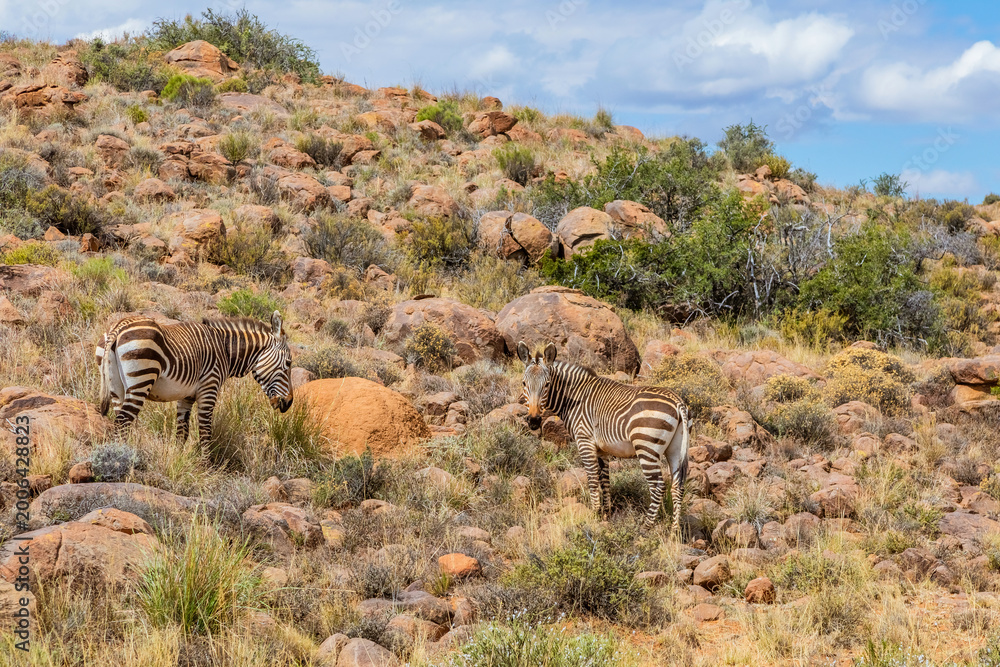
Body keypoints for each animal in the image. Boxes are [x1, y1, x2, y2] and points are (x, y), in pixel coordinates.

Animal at [96, 311, 293, 446]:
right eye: (289, 363)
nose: (289, 402)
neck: (225, 350)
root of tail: (119, 326)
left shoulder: (186, 396)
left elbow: (182, 432)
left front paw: (178, 462)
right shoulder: (209, 388)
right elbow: (205, 431)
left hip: (116, 388)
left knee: (120, 422)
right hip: (141, 380)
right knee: (122, 422)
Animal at [517, 341, 690, 532]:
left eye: (547, 385)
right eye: (524, 383)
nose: (533, 420)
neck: (574, 399)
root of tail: (678, 402)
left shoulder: (585, 441)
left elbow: (592, 478)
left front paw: (594, 513)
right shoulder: (602, 449)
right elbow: (604, 479)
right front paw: (606, 512)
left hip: (646, 447)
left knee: (658, 486)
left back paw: (646, 526)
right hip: (675, 449)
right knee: (678, 486)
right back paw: (675, 530)